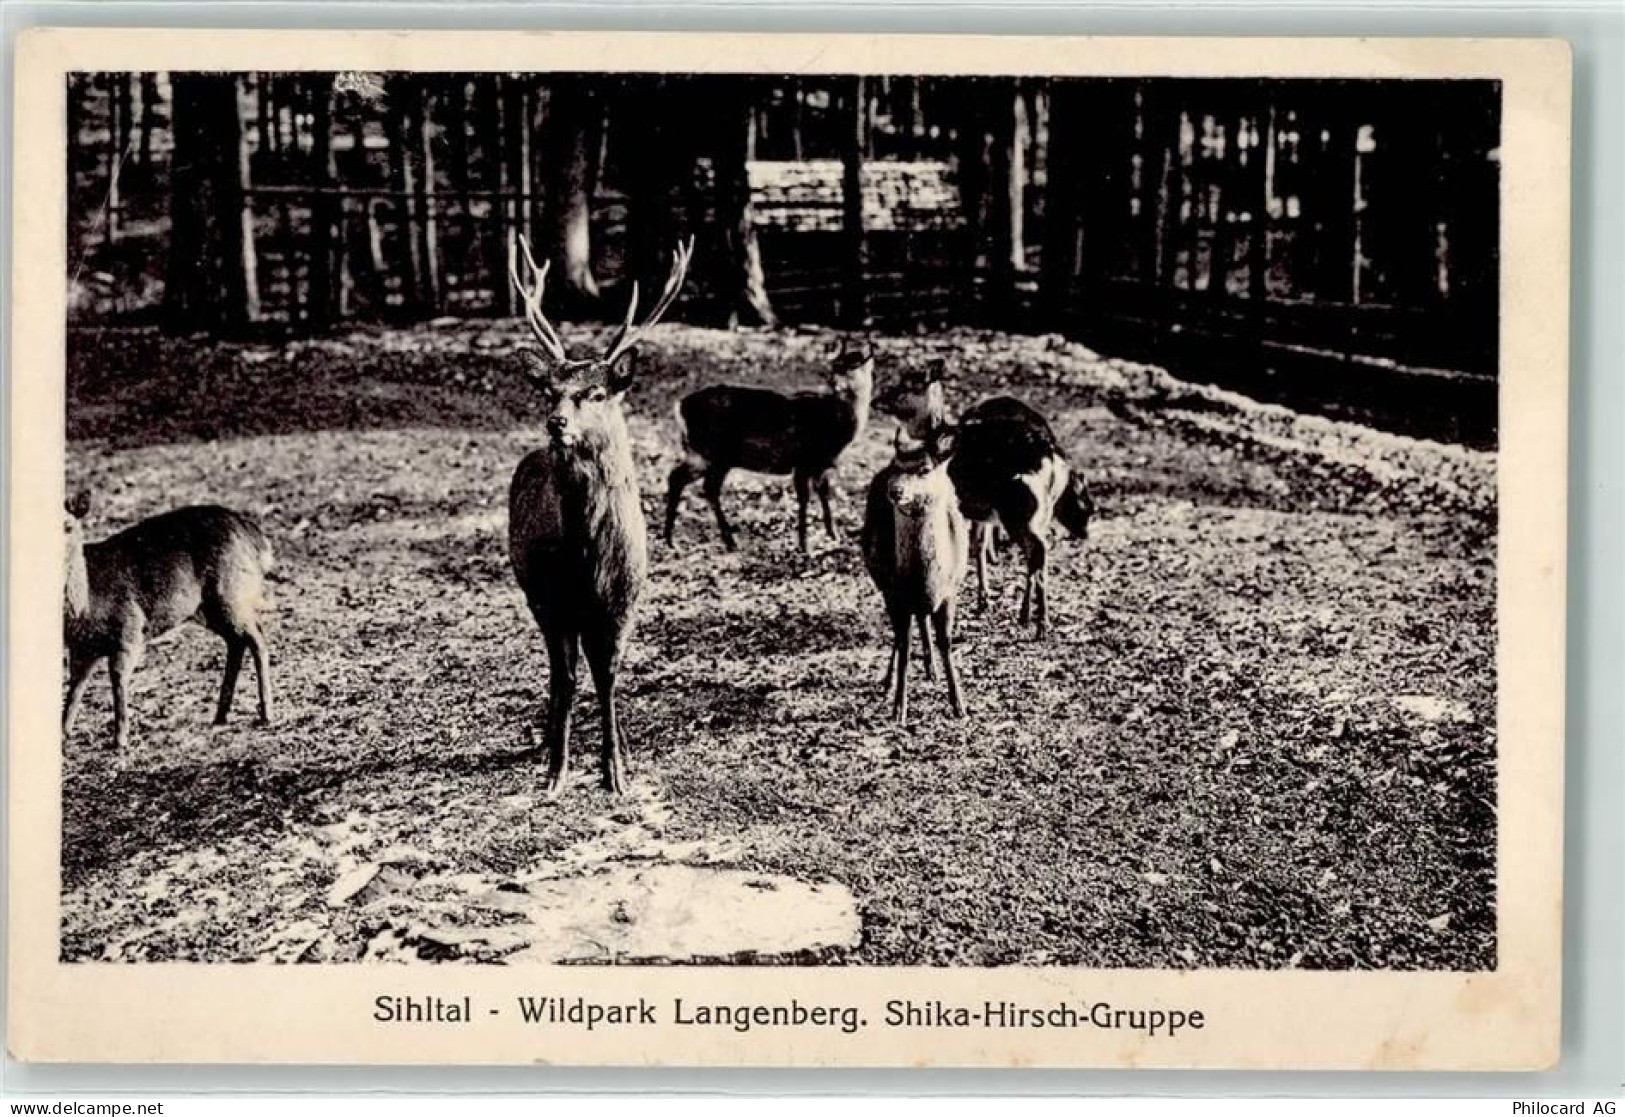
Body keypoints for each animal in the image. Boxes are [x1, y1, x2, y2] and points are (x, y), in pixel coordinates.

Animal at [62, 493, 275, 749]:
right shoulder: (81, 649)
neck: (86, 606)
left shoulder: (129, 628)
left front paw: (120, 739)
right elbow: (75, 687)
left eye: (67, 526)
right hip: (210, 609)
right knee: (237, 642)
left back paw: (266, 714)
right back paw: (220, 715)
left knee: (257, 638)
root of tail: (259, 542)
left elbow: (117, 678)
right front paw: (63, 733)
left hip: (232, 593)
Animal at [506, 234, 693, 798]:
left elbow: (607, 676)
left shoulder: (623, 600)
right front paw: (557, 770)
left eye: (597, 392)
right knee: (559, 670)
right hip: (535, 595)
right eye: (549, 391)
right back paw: (549, 741)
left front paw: (616, 772)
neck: (588, 562)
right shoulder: (552, 599)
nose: (556, 423)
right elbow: (567, 678)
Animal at [664, 342, 875, 554]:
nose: (833, 383)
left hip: (698, 454)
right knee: (708, 487)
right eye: (834, 366)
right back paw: (729, 541)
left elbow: (823, 492)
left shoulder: (819, 464)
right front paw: (804, 545)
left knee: (677, 477)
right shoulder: (804, 460)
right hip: (716, 454)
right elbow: (805, 498)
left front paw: (832, 535)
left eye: (853, 364)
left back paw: (670, 540)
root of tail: (679, 407)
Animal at [861, 426, 969, 725]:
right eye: (896, 467)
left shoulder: (950, 591)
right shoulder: (894, 594)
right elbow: (904, 647)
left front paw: (959, 704)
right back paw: (888, 682)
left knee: (922, 619)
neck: (924, 578)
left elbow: (946, 642)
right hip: (882, 585)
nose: (895, 490)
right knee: (901, 636)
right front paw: (899, 709)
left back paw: (931, 670)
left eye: (925, 469)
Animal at [873, 363, 1095, 638]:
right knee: (1037, 552)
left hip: (1019, 511)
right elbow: (978, 544)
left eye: (909, 382)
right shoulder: (983, 512)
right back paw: (1028, 617)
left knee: (1038, 550)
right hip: (1039, 512)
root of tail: (1054, 462)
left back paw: (1040, 624)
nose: (876, 400)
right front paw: (984, 600)